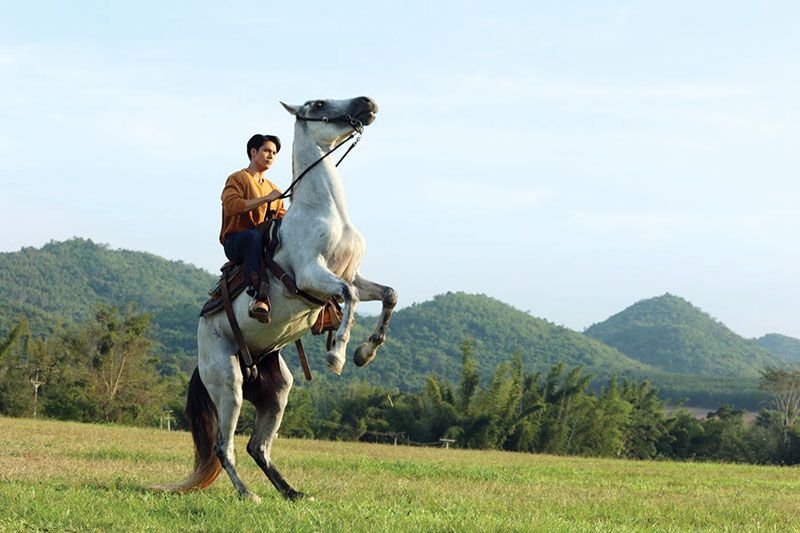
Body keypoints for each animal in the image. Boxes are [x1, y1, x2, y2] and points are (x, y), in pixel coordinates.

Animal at [160, 97, 400, 500]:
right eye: (318, 103)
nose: (367, 103)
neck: (325, 213)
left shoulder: (351, 273)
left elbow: (387, 295)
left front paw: (365, 352)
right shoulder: (311, 275)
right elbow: (349, 295)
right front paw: (338, 355)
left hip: (277, 389)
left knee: (257, 446)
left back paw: (292, 492)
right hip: (228, 384)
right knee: (224, 446)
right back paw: (248, 494)